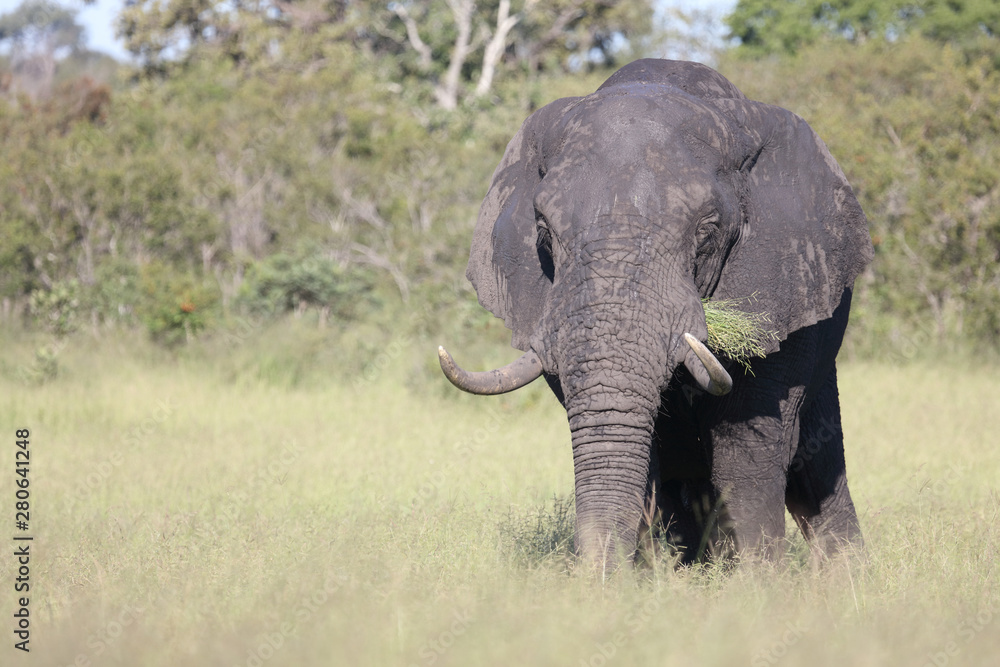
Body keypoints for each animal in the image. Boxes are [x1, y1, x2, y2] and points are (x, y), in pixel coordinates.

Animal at [438, 58, 868, 568]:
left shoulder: (779, 281)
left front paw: (759, 582)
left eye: (706, 230)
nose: (595, 577)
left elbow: (747, 446)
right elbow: (640, 452)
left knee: (816, 468)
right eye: (542, 230)